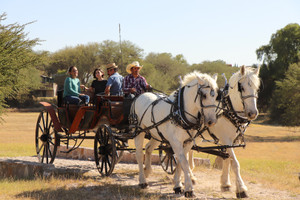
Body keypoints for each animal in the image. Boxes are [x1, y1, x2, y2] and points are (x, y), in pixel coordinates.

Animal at [189, 66, 262, 198]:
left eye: (257, 88)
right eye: (242, 88)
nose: (252, 113)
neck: (228, 110)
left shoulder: (231, 141)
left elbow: (227, 160)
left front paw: (225, 183)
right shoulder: (225, 139)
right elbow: (235, 163)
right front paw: (242, 189)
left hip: (197, 135)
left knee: (190, 150)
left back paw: (191, 176)